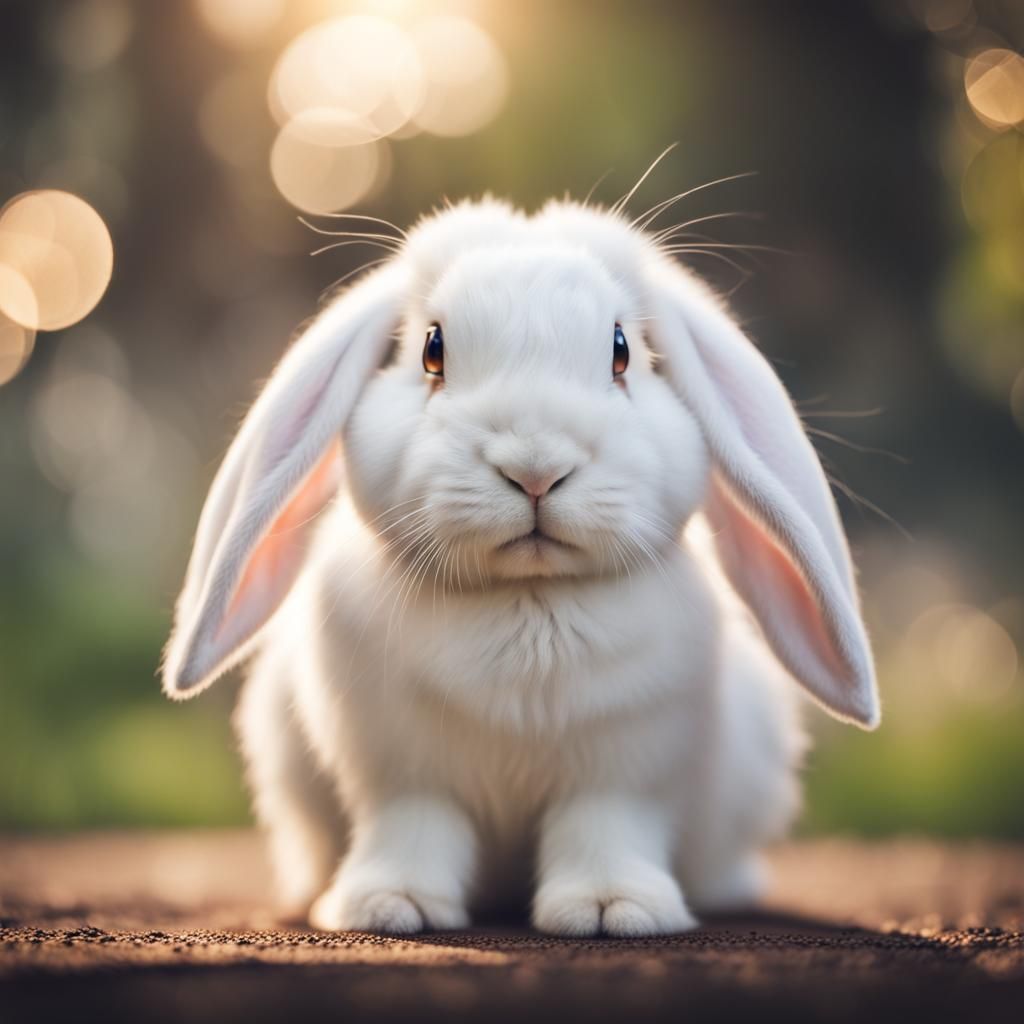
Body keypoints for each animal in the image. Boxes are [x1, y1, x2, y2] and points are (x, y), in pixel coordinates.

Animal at [161, 196, 879, 937]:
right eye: (432, 350)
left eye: (621, 351)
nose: (536, 469)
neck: (529, 597)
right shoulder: (403, 774)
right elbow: (412, 830)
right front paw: (393, 906)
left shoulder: (622, 772)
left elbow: (605, 830)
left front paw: (610, 910)